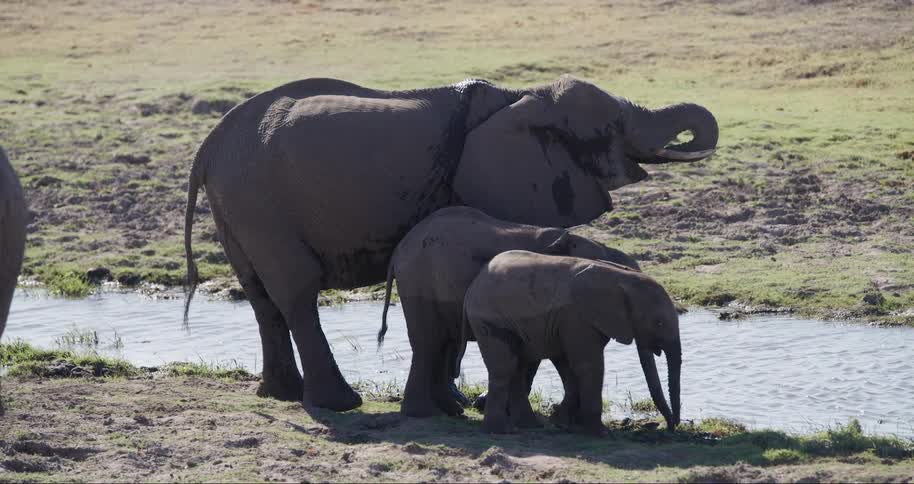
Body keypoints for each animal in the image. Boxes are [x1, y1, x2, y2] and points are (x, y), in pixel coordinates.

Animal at [376, 205, 640, 418]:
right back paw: (423, 413)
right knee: (428, 342)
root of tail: (399, 249)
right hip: (419, 280)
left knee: (442, 342)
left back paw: (451, 411)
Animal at [460, 250, 681, 435]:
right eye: (658, 322)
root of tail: (475, 282)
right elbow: (589, 366)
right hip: (489, 319)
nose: (671, 426)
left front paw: (563, 423)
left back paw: (529, 426)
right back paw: (500, 431)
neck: (621, 279)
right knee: (505, 367)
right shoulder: (576, 317)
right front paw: (600, 433)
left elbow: (570, 366)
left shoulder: (576, 320)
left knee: (518, 366)